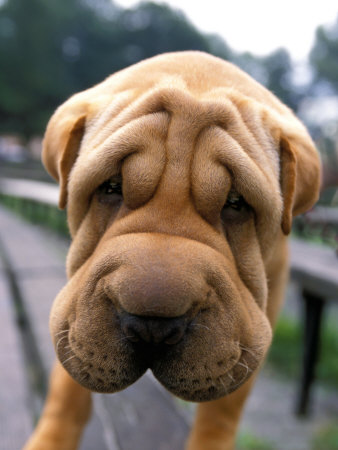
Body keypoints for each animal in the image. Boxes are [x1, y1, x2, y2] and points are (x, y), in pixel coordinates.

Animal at [25, 51, 320, 448]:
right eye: (110, 187)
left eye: (237, 203)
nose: (152, 327)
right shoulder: (72, 305)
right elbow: (66, 384)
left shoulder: (263, 310)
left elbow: (224, 409)